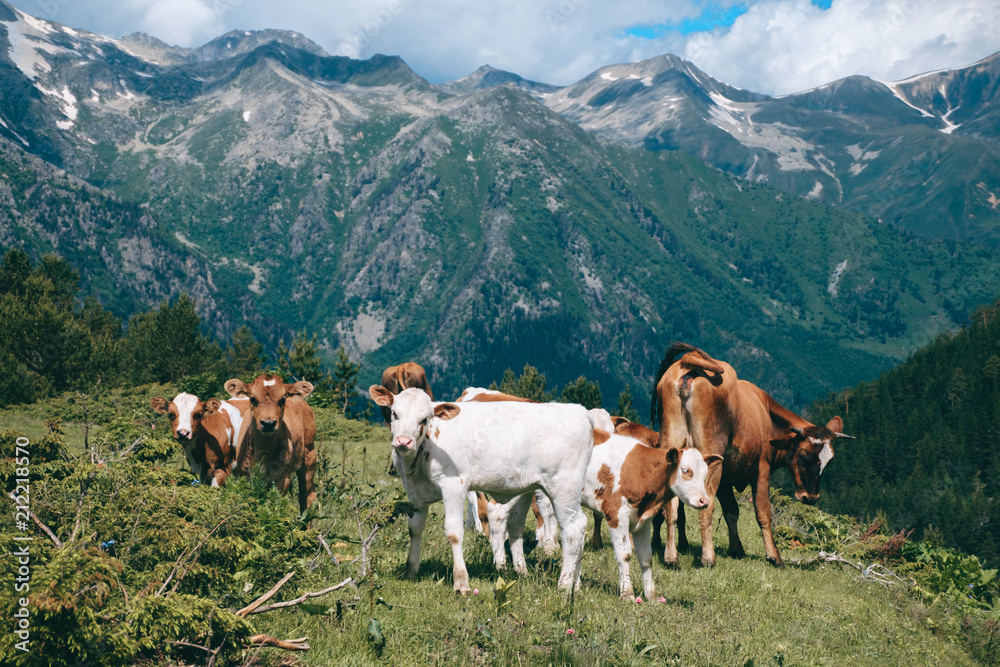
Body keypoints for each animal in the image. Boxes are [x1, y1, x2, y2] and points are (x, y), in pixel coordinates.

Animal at [225, 376, 318, 512]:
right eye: (253, 399)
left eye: (282, 399)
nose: (268, 423)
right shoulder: (244, 474)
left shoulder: (282, 478)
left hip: (309, 456)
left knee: (307, 494)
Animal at [372, 386, 596, 596]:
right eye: (395, 414)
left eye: (424, 419)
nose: (403, 441)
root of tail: (579, 410)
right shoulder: (415, 493)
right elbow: (415, 529)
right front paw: (411, 571)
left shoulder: (454, 485)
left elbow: (454, 533)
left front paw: (461, 583)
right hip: (533, 488)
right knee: (565, 525)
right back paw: (574, 585)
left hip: (564, 488)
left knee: (573, 529)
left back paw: (564, 586)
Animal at [584, 430, 724, 604]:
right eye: (686, 470)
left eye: (705, 474)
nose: (704, 501)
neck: (640, 470)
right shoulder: (616, 515)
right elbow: (624, 555)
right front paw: (627, 594)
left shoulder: (643, 521)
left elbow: (646, 557)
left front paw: (651, 596)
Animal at [652, 344, 856, 568]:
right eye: (803, 454)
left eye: (830, 460)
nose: (810, 497)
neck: (766, 415)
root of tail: (690, 364)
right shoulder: (761, 469)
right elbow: (763, 512)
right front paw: (774, 556)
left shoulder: (726, 477)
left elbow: (732, 511)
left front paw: (736, 549)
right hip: (709, 460)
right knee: (705, 505)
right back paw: (708, 559)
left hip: (672, 446)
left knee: (670, 506)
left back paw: (671, 558)